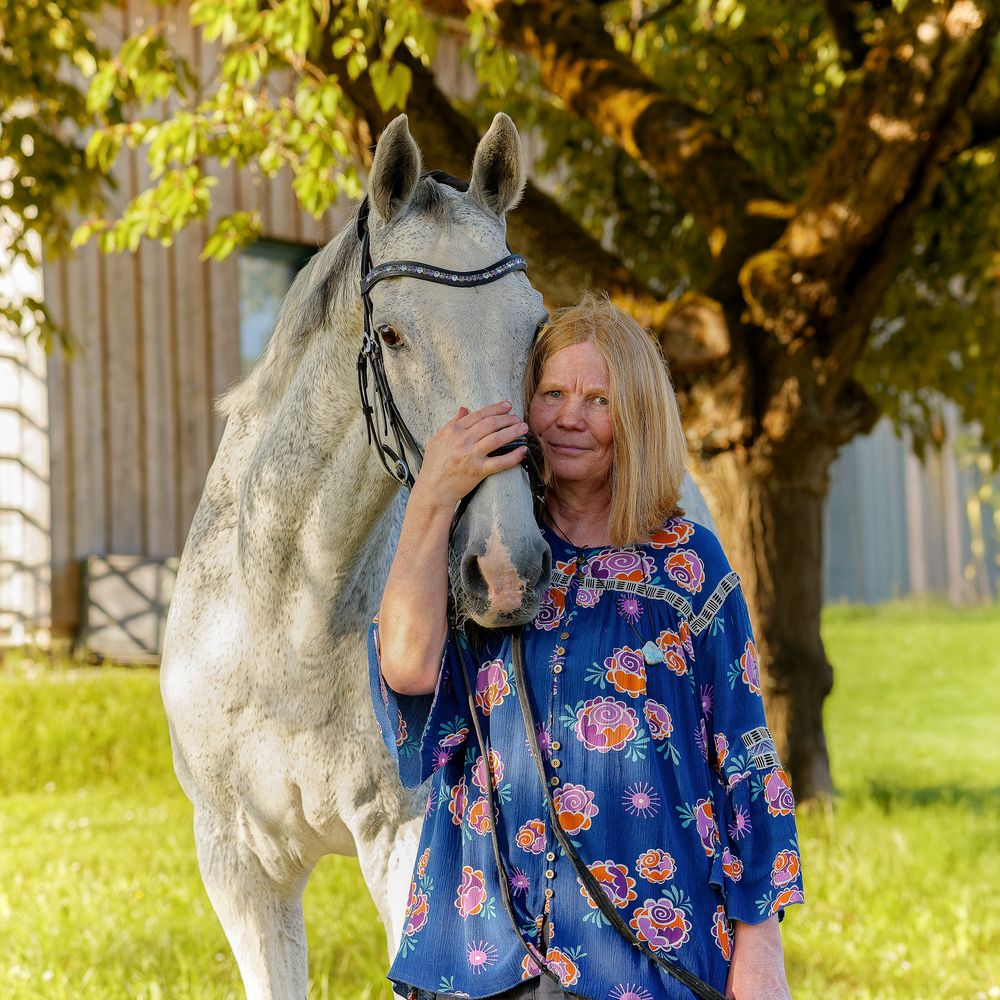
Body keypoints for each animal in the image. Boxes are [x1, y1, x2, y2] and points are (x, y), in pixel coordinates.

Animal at [160, 111, 715, 999]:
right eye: (390, 334)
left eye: (534, 330)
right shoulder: (239, 868)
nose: (506, 571)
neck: (287, 623)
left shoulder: (403, 846)